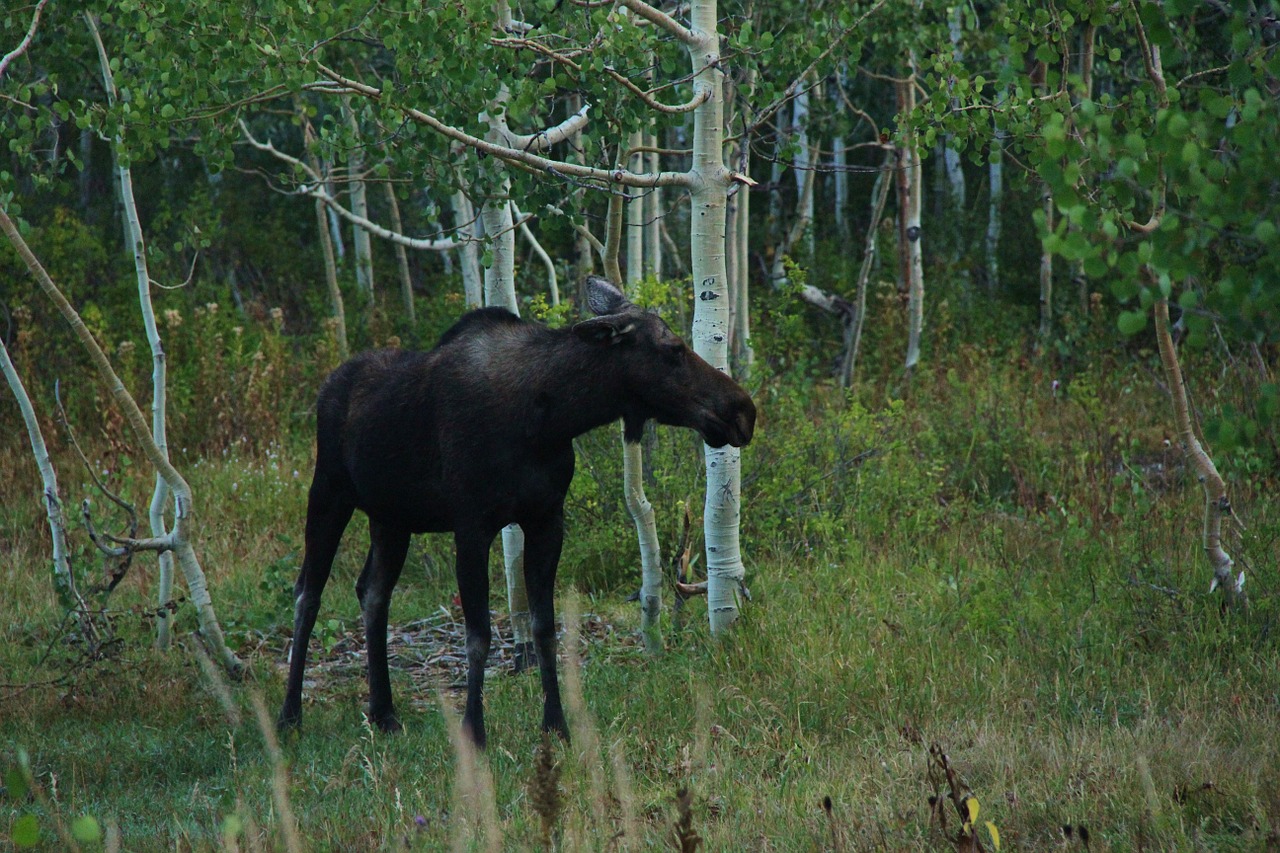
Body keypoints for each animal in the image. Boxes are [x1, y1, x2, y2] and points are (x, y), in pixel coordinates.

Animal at [279, 274, 752, 742]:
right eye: (673, 349)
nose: (744, 411)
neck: (552, 419)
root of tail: (328, 385)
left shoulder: (546, 519)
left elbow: (544, 629)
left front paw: (556, 724)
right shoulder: (471, 525)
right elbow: (479, 635)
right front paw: (474, 731)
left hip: (391, 518)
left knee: (373, 592)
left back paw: (383, 712)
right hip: (329, 491)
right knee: (307, 593)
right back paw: (289, 715)